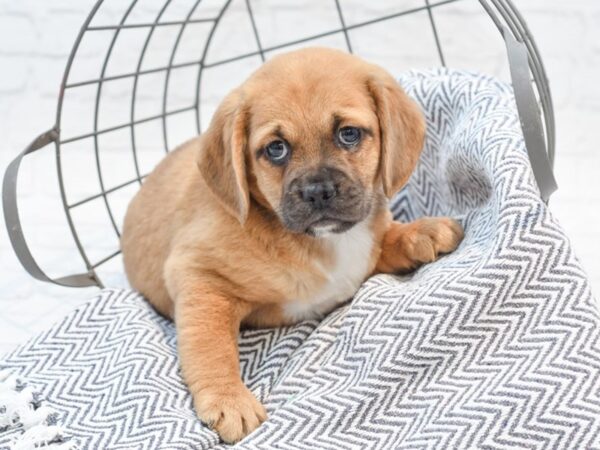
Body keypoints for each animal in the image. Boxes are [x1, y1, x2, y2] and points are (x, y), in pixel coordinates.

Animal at [120, 47, 464, 442]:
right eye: (276, 149)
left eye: (348, 134)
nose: (318, 192)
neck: (321, 242)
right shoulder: (199, 276)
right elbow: (209, 345)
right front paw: (228, 399)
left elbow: (382, 242)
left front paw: (421, 232)